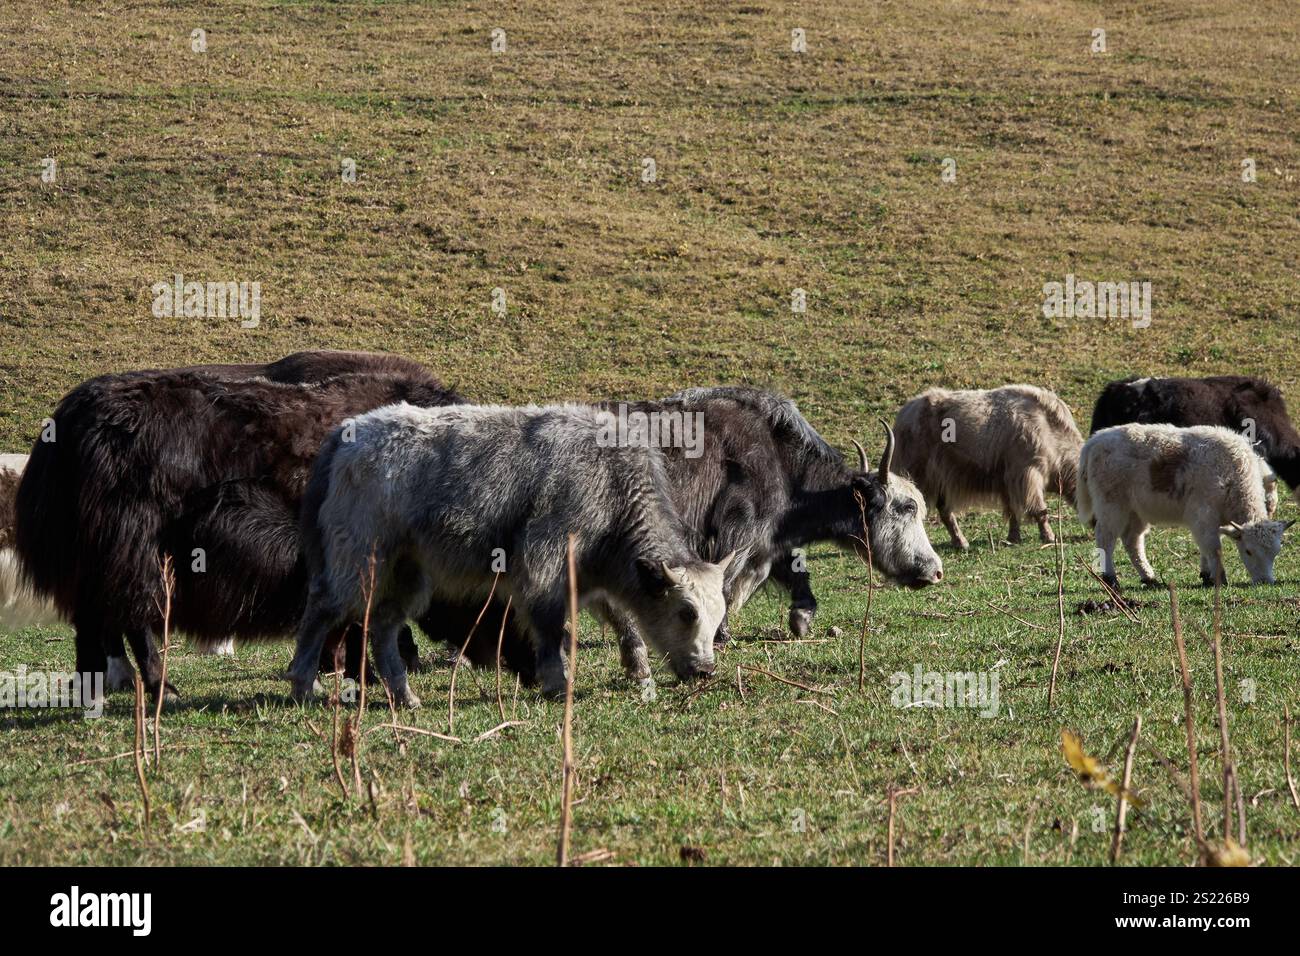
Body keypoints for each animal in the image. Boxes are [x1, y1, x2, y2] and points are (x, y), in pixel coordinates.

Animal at [291, 400, 738, 707]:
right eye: (686, 612)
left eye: (718, 613)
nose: (705, 670)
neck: (610, 482)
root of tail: (348, 434)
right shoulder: (545, 563)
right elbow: (551, 624)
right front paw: (557, 682)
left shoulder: (592, 574)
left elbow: (621, 616)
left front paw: (639, 670)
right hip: (357, 557)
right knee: (323, 609)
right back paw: (304, 684)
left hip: (409, 570)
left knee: (383, 623)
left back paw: (405, 696)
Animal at [889, 385, 1081, 548]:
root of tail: (903, 415)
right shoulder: (1028, 475)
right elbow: (1040, 509)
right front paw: (1049, 537)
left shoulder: (1007, 481)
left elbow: (1012, 510)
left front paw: (1013, 538)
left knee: (945, 510)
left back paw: (961, 542)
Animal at [1076, 424, 1289, 587]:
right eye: (1248, 551)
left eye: (1276, 551)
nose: (1265, 581)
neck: (1233, 474)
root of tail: (1095, 441)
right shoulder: (1204, 516)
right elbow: (1213, 547)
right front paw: (1219, 578)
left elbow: (1207, 547)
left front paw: (1206, 575)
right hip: (1111, 506)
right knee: (1106, 538)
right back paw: (1111, 579)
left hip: (1136, 513)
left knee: (1132, 541)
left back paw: (1149, 578)